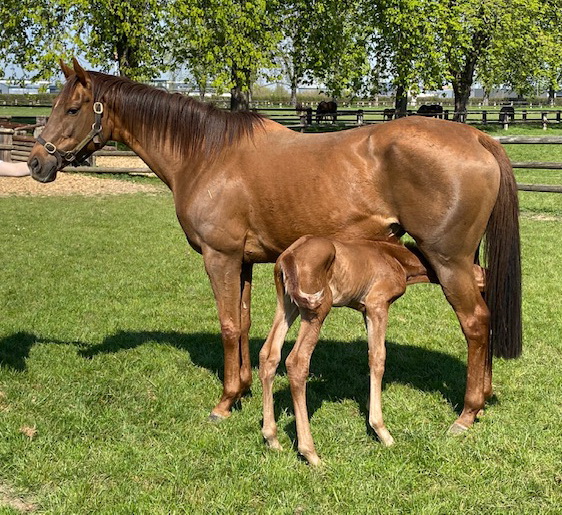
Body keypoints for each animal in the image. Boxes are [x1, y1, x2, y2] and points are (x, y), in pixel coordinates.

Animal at [28, 58, 520, 434]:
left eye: (72, 108)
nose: (36, 163)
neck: (206, 155)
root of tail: (476, 136)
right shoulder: (243, 262)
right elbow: (244, 323)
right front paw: (243, 389)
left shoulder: (220, 258)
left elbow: (228, 325)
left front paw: (225, 402)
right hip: (465, 263)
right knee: (486, 310)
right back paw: (485, 395)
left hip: (448, 262)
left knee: (476, 323)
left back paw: (467, 413)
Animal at [260, 236, 486, 466]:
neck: (395, 259)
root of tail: (288, 257)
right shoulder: (377, 303)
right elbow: (378, 358)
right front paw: (382, 431)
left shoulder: (365, 310)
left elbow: (370, 355)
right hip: (317, 308)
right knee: (297, 361)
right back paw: (311, 454)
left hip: (287, 305)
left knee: (269, 354)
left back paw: (272, 439)